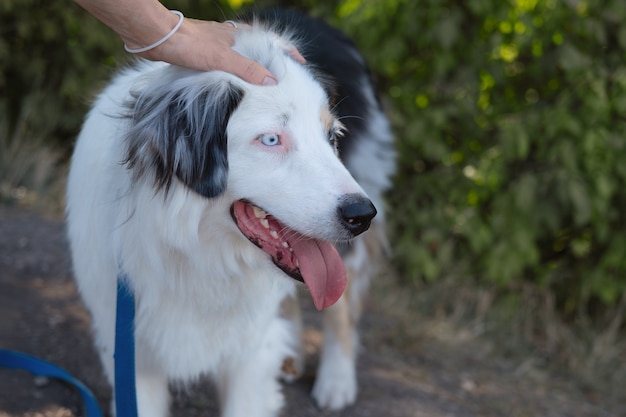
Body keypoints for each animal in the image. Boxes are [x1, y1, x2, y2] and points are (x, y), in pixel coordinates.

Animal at [66, 9, 392, 416]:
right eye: (271, 139)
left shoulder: (250, 354)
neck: (198, 256)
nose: (362, 215)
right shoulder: (130, 350)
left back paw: (336, 381)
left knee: (341, 306)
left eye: (331, 137)